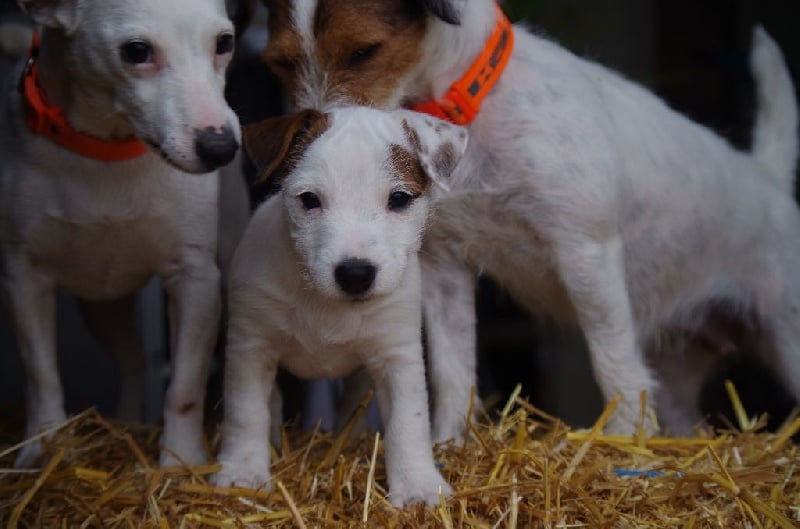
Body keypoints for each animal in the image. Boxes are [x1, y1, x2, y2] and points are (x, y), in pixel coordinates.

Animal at [1, 0, 242, 464]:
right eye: (136, 51)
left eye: (224, 42)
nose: (222, 148)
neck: (108, 150)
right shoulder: (23, 277)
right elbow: (41, 375)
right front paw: (42, 449)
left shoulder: (196, 280)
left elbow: (184, 387)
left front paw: (181, 461)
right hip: (101, 306)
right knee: (132, 360)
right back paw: (130, 423)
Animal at [211, 105, 468, 506]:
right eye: (309, 199)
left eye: (399, 199)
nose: (356, 274)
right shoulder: (250, 348)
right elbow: (246, 411)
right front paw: (242, 472)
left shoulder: (398, 357)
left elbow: (408, 423)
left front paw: (418, 485)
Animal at [258, 0, 800, 438]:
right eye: (279, 63)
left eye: (364, 51)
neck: (472, 117)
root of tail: (767, 180)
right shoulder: (443, 269)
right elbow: (453, 370)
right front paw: (450, 445)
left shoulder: (586, 251)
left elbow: (612, 360)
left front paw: (625, 444)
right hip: (676, 374)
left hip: (786, 340)